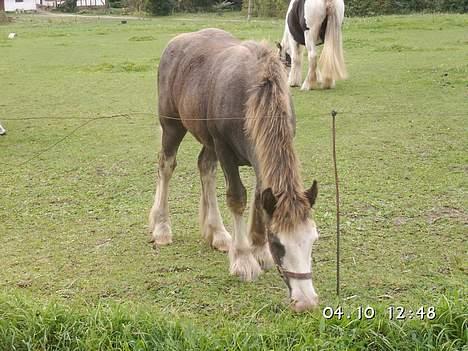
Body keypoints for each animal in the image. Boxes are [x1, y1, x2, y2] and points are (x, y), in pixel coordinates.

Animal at [148, 28, 320, 312]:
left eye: (313, 240)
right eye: (278, 243)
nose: (305, 301)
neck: (254, 95)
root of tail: (176, 41)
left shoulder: (258, 157)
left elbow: (260, 198)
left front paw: (258, 251)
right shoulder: (225, 150)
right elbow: (237, 198)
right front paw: (243, 260)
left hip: (207, 141)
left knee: (205, 167)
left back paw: (217, 233)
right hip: (172, 126)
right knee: (167, 165)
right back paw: (162, 227)